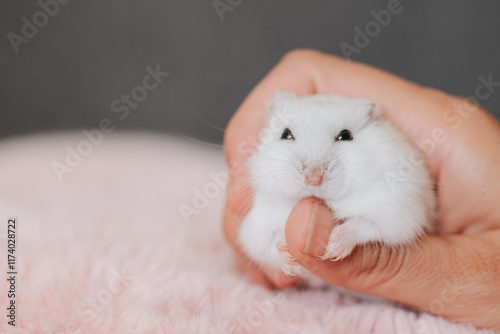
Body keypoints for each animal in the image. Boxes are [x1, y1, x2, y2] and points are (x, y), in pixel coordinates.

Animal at [236, 90, 436, 282]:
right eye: (286, 134)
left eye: (345, 135)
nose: (313, 179)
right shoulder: (258, 230)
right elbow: (269, 247)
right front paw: (290, 262)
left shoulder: (397, 213)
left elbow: (364, 224)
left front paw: (331, 251)